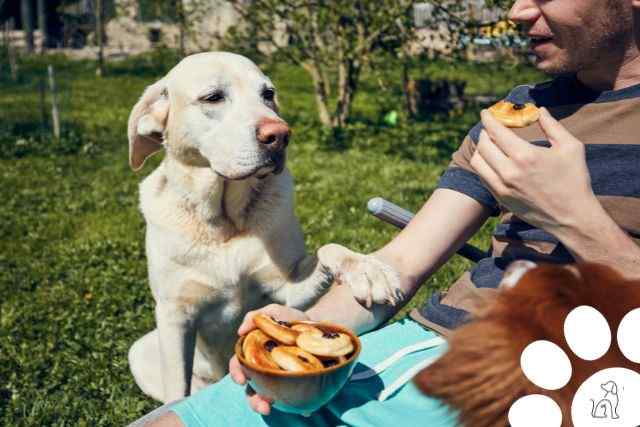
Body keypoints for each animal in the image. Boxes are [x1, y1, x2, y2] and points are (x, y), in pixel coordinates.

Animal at [127, 52, 402, 404]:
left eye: (268, 94)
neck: (224, 222)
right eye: (213, 97)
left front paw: (367, 269)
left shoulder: (288, 290)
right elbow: (178, 389)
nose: (280, 135)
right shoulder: (175, 316)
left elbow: (328, 249)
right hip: (141, 350)